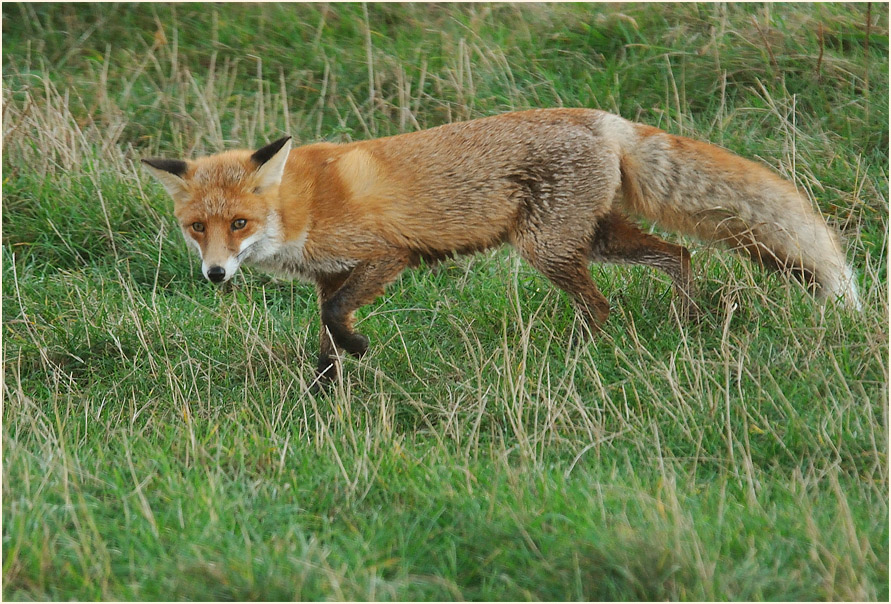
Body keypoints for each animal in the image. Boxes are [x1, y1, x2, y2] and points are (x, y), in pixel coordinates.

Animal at [142, 108, 861, 383]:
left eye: (238, 223)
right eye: (196, 227)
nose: (213, 274)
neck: (300, 208)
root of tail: (599, 117)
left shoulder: (387, 256)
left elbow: (335, 317)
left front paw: (357, 350)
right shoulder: (330, 273)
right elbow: (322, 326)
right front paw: (325, 386)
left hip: (547, 246)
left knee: (603, 305)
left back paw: (578, 355)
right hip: (593, 239)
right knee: (677, 255)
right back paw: (688, 321)